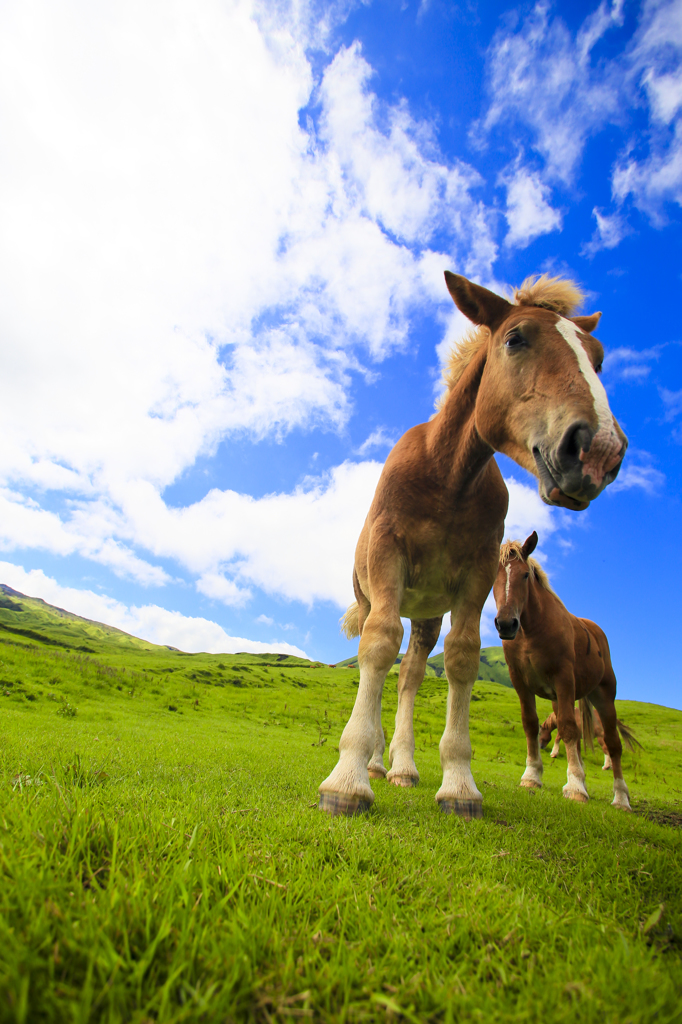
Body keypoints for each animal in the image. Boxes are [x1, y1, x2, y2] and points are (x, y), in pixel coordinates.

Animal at [493, 532, 630, 811]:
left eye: (525, 575)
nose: (506, 624)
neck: (531, 631)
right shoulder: (520, 681)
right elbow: (530, 724)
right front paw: (532, 776)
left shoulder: (563, 678)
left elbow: (567, 728)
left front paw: (576, 787)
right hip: (560, 698)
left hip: (603, 697)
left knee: (613, 744)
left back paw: (621, 798)